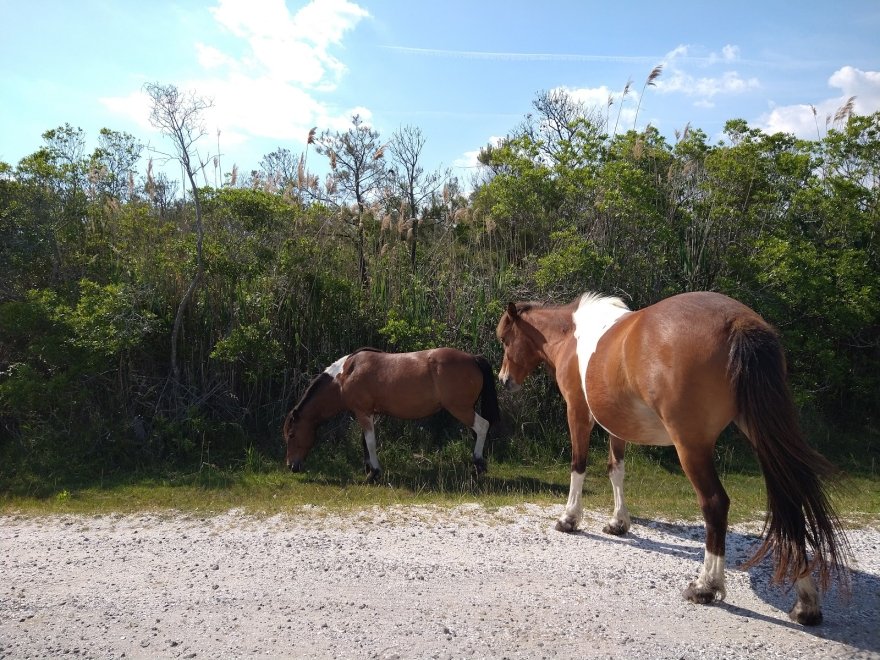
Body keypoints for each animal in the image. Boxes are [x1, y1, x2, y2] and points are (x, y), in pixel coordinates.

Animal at [284, 348, 498, 482]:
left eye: (292, 435)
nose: (291, 466)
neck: (345, 376)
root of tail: (473, 358)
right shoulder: (366, 413)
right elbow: (364, 442)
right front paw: (370, 469)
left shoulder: (363, 413)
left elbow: (370, 442)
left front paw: (374, 472)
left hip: (460, 408)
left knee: (482, 426)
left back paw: (478, 462)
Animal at [498, 292, 848, 624]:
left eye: (505, 338)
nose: (503, 379)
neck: (573, 334)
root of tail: (738, 322)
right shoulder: (618, 424)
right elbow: (616, 470)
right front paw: (618, 522)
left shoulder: (578, 413)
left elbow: (578, 466)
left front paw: (569, 518)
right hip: (760, 433)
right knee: (790, 499)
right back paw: (805, 603)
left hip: (691, 446)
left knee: (715, 503)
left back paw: (706, 586)